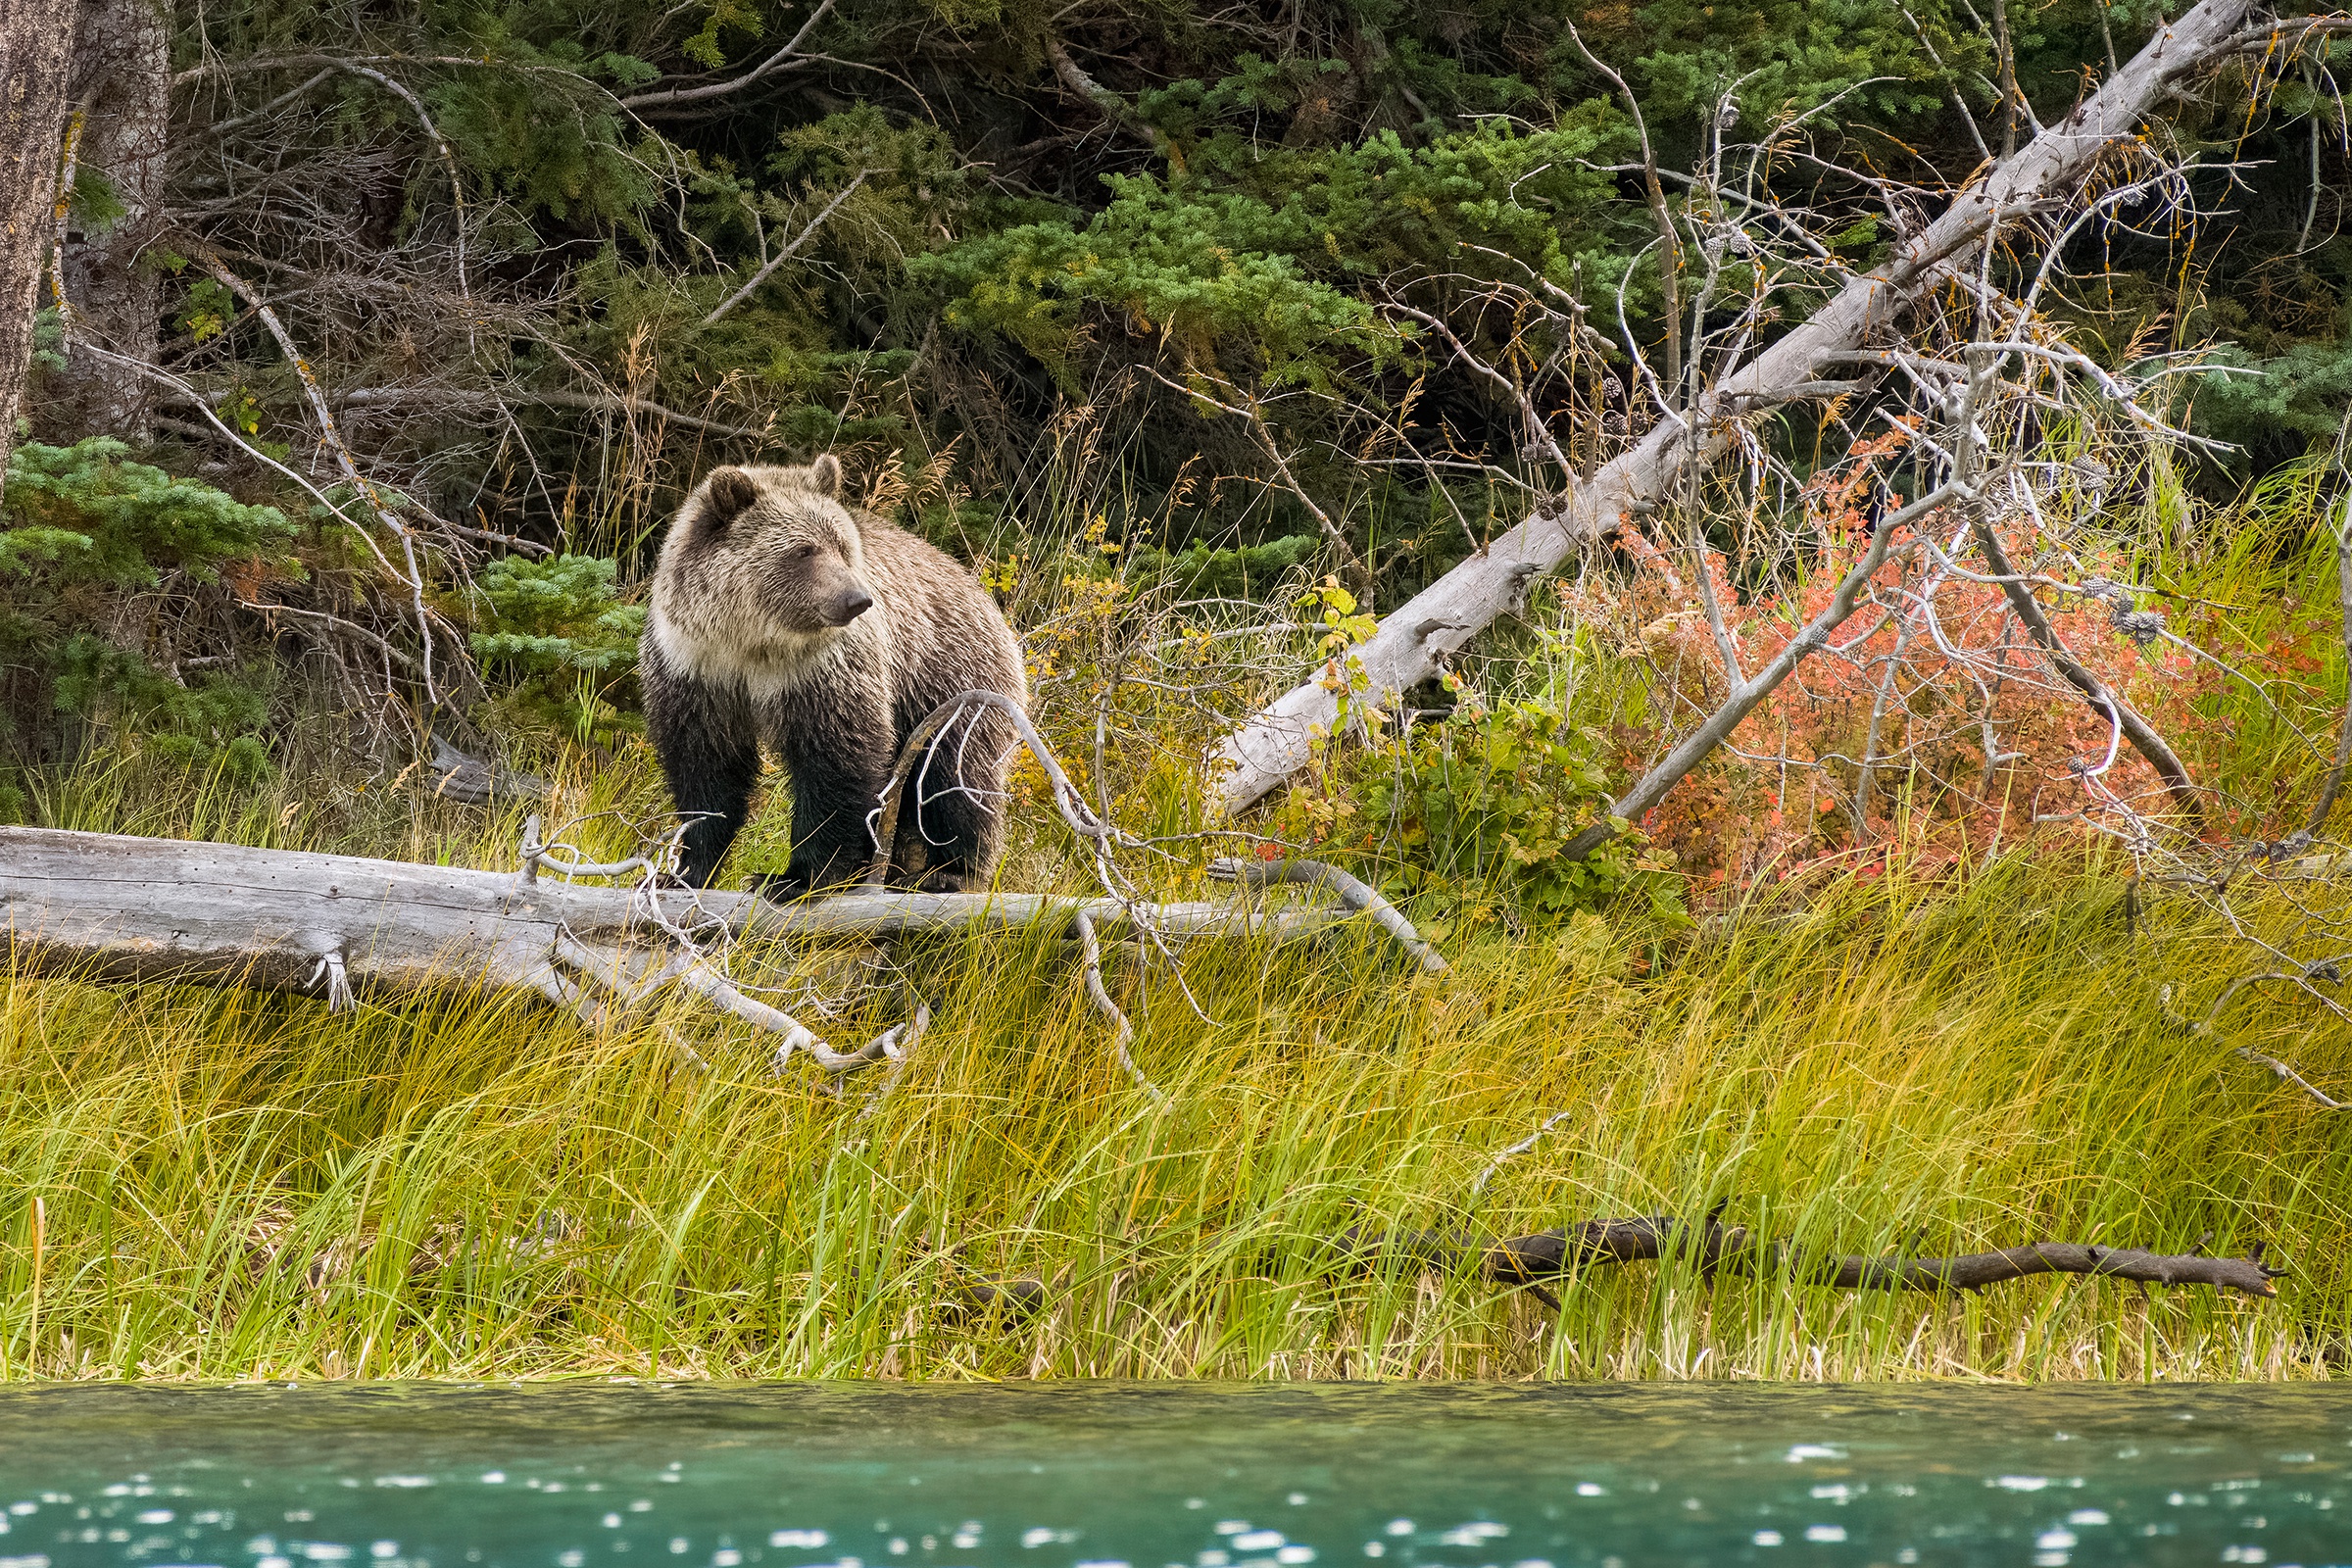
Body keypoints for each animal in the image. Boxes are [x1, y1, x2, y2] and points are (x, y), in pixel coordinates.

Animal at [639, 456, 1025, 893]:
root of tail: (982, 594)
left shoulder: (824, 671)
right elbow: (706, 770)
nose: (857, 598)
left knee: (953, 776)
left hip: (951, 680)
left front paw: (794, 877)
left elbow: (837, 762)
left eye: (841, 546)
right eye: (803, 550)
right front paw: (682, 871)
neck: (752, 644)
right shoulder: (695, 669)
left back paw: (950, 873)